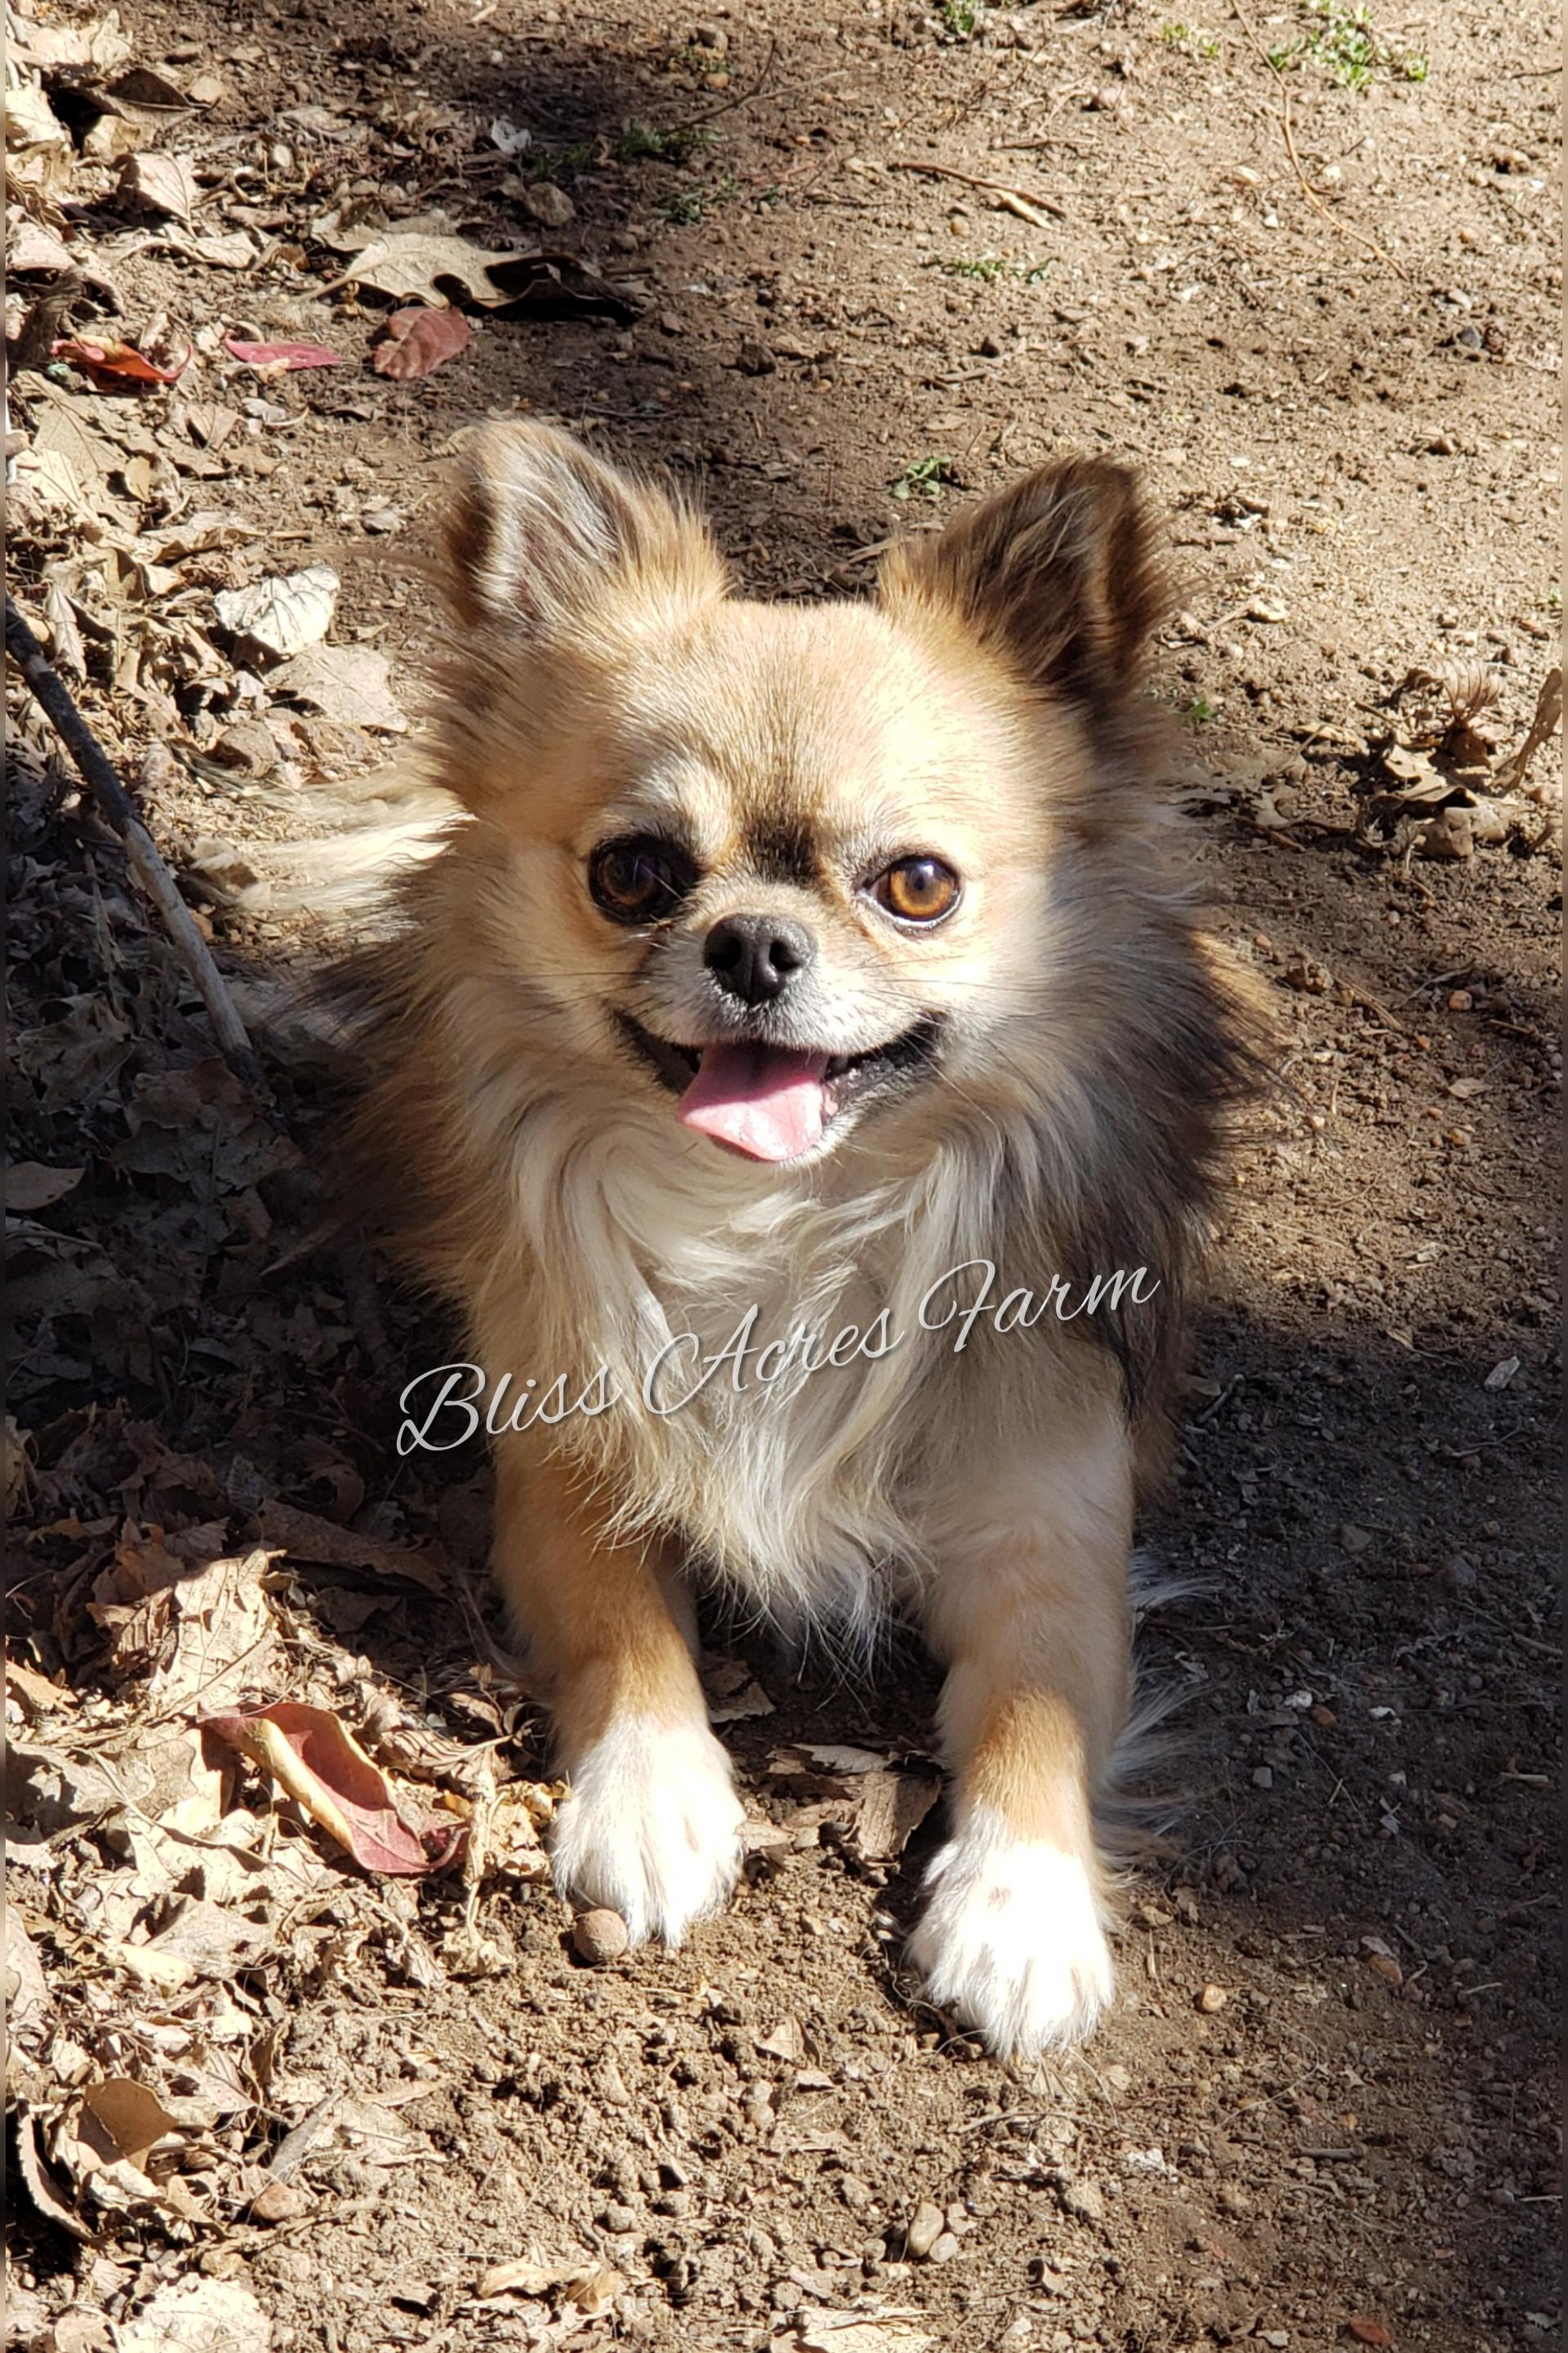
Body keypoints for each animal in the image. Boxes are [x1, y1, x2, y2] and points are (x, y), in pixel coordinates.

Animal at [338, 423, 1261, 2058]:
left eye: (918, 884)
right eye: (634, 872)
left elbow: (1036, 1708)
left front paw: (1022, 1908)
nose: (756, 943)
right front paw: (651, 1800)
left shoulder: (1046, 1521)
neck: (785, 1219)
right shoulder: (566, 1474)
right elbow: (627, 1633)